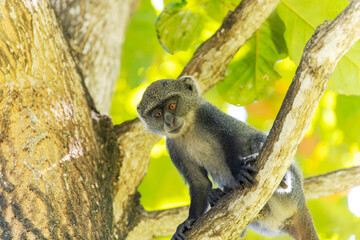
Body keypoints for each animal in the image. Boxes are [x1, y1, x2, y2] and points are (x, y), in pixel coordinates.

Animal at [136, 76, 318, 239]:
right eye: (158, 114)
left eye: (172, 105)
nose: (169, 121)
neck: (188, 128)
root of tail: (301, 206)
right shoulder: (173, 147)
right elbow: (199, 183)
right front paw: (188, 222)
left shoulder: (210, 115)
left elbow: (231, 141)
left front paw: (240, 174)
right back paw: (218, 197)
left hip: (291, 195)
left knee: (259, 139)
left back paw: (283, 180)